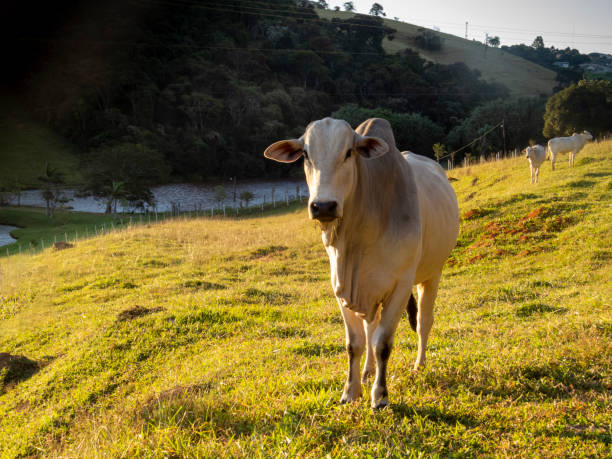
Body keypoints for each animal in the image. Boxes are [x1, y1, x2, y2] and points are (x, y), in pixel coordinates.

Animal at [262, 118, 460, 410]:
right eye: (306, 155)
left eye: (349, 152)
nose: (323, 206)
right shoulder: (343, 288)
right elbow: (355, 343)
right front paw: (350, 391)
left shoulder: (400, 286)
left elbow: (382, 344)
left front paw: (380, 396)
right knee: (370, 327)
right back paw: (367, 371)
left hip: (432, 273)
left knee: (423, 322)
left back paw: (419, 365)